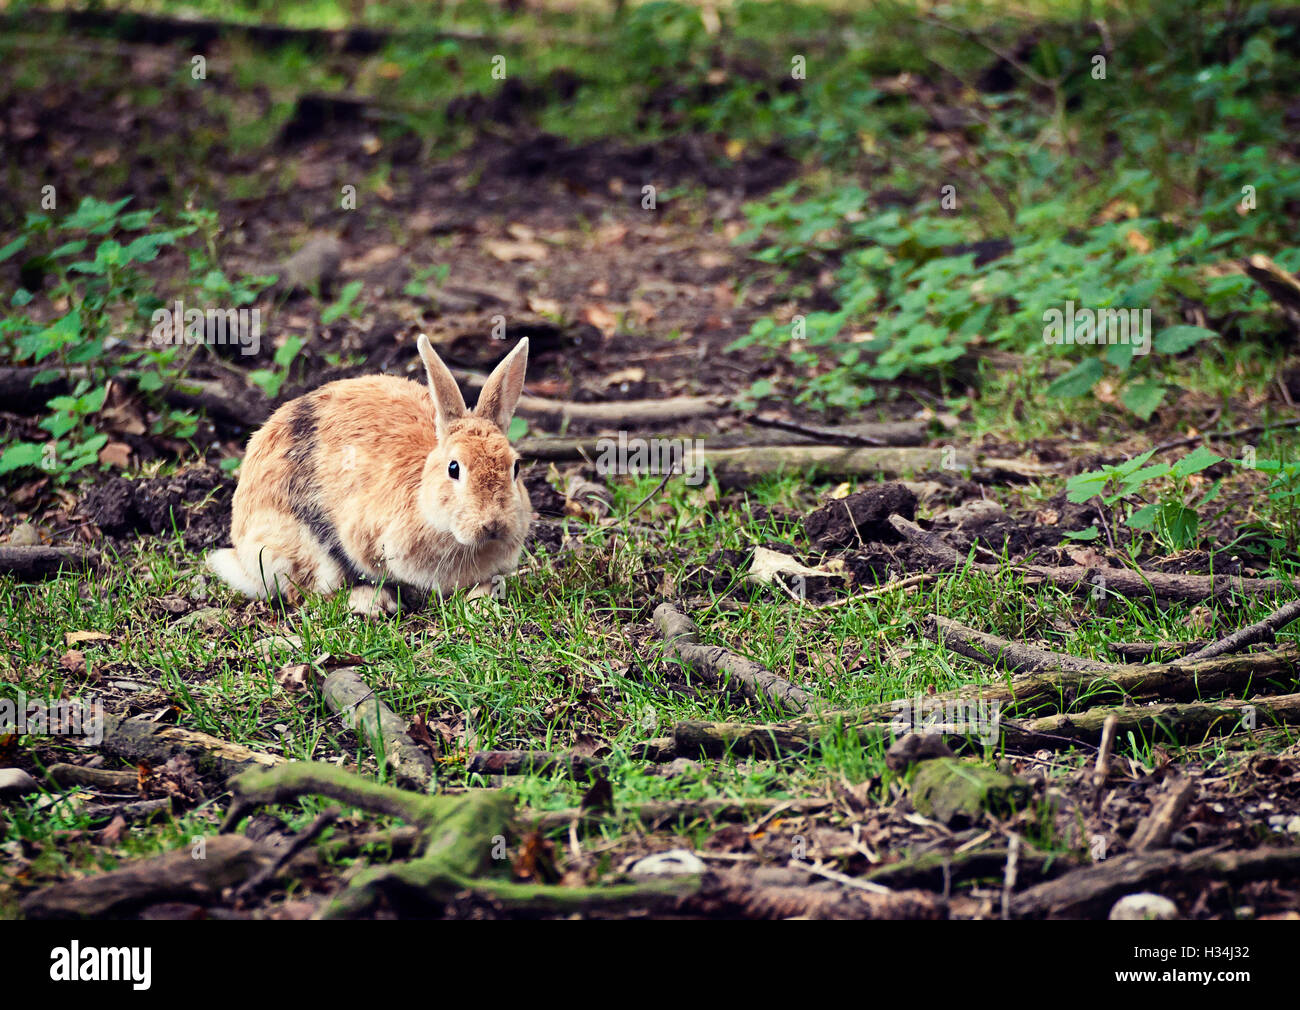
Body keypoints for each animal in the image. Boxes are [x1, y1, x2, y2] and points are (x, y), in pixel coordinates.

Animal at [207, 334, 531, 615]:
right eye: (454, 468)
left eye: (515, 467)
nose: (493, 524)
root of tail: (242, 548)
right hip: (297, 547)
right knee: (306, 592)